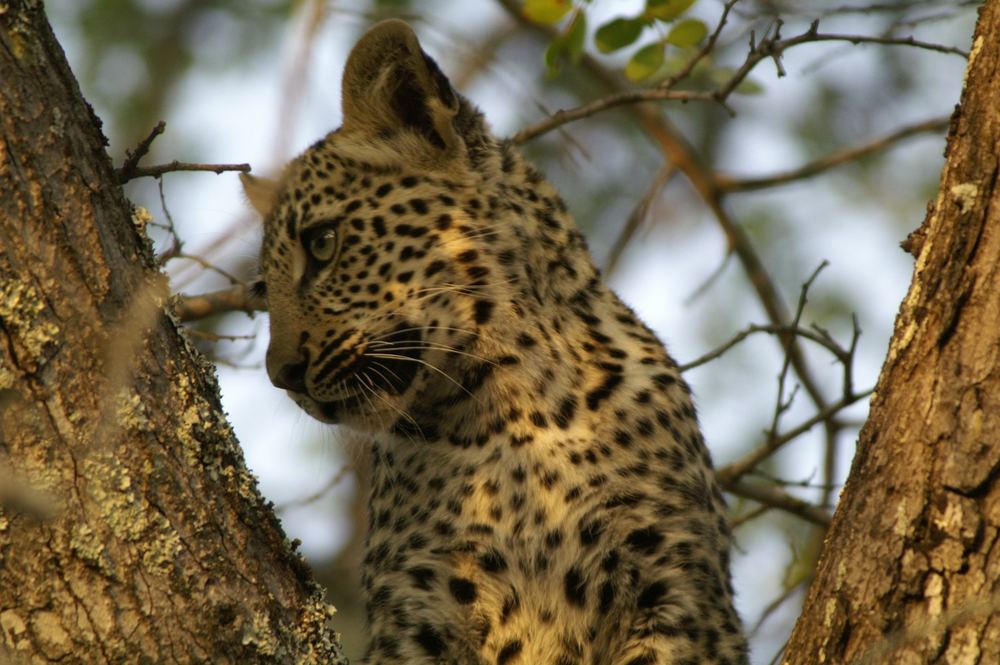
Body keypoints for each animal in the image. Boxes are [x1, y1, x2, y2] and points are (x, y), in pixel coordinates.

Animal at [242, 19, 748, 664]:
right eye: (262, 290)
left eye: (323, 243)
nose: (282, 374)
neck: (509, 411)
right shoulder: (418, 609)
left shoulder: (676, 591)